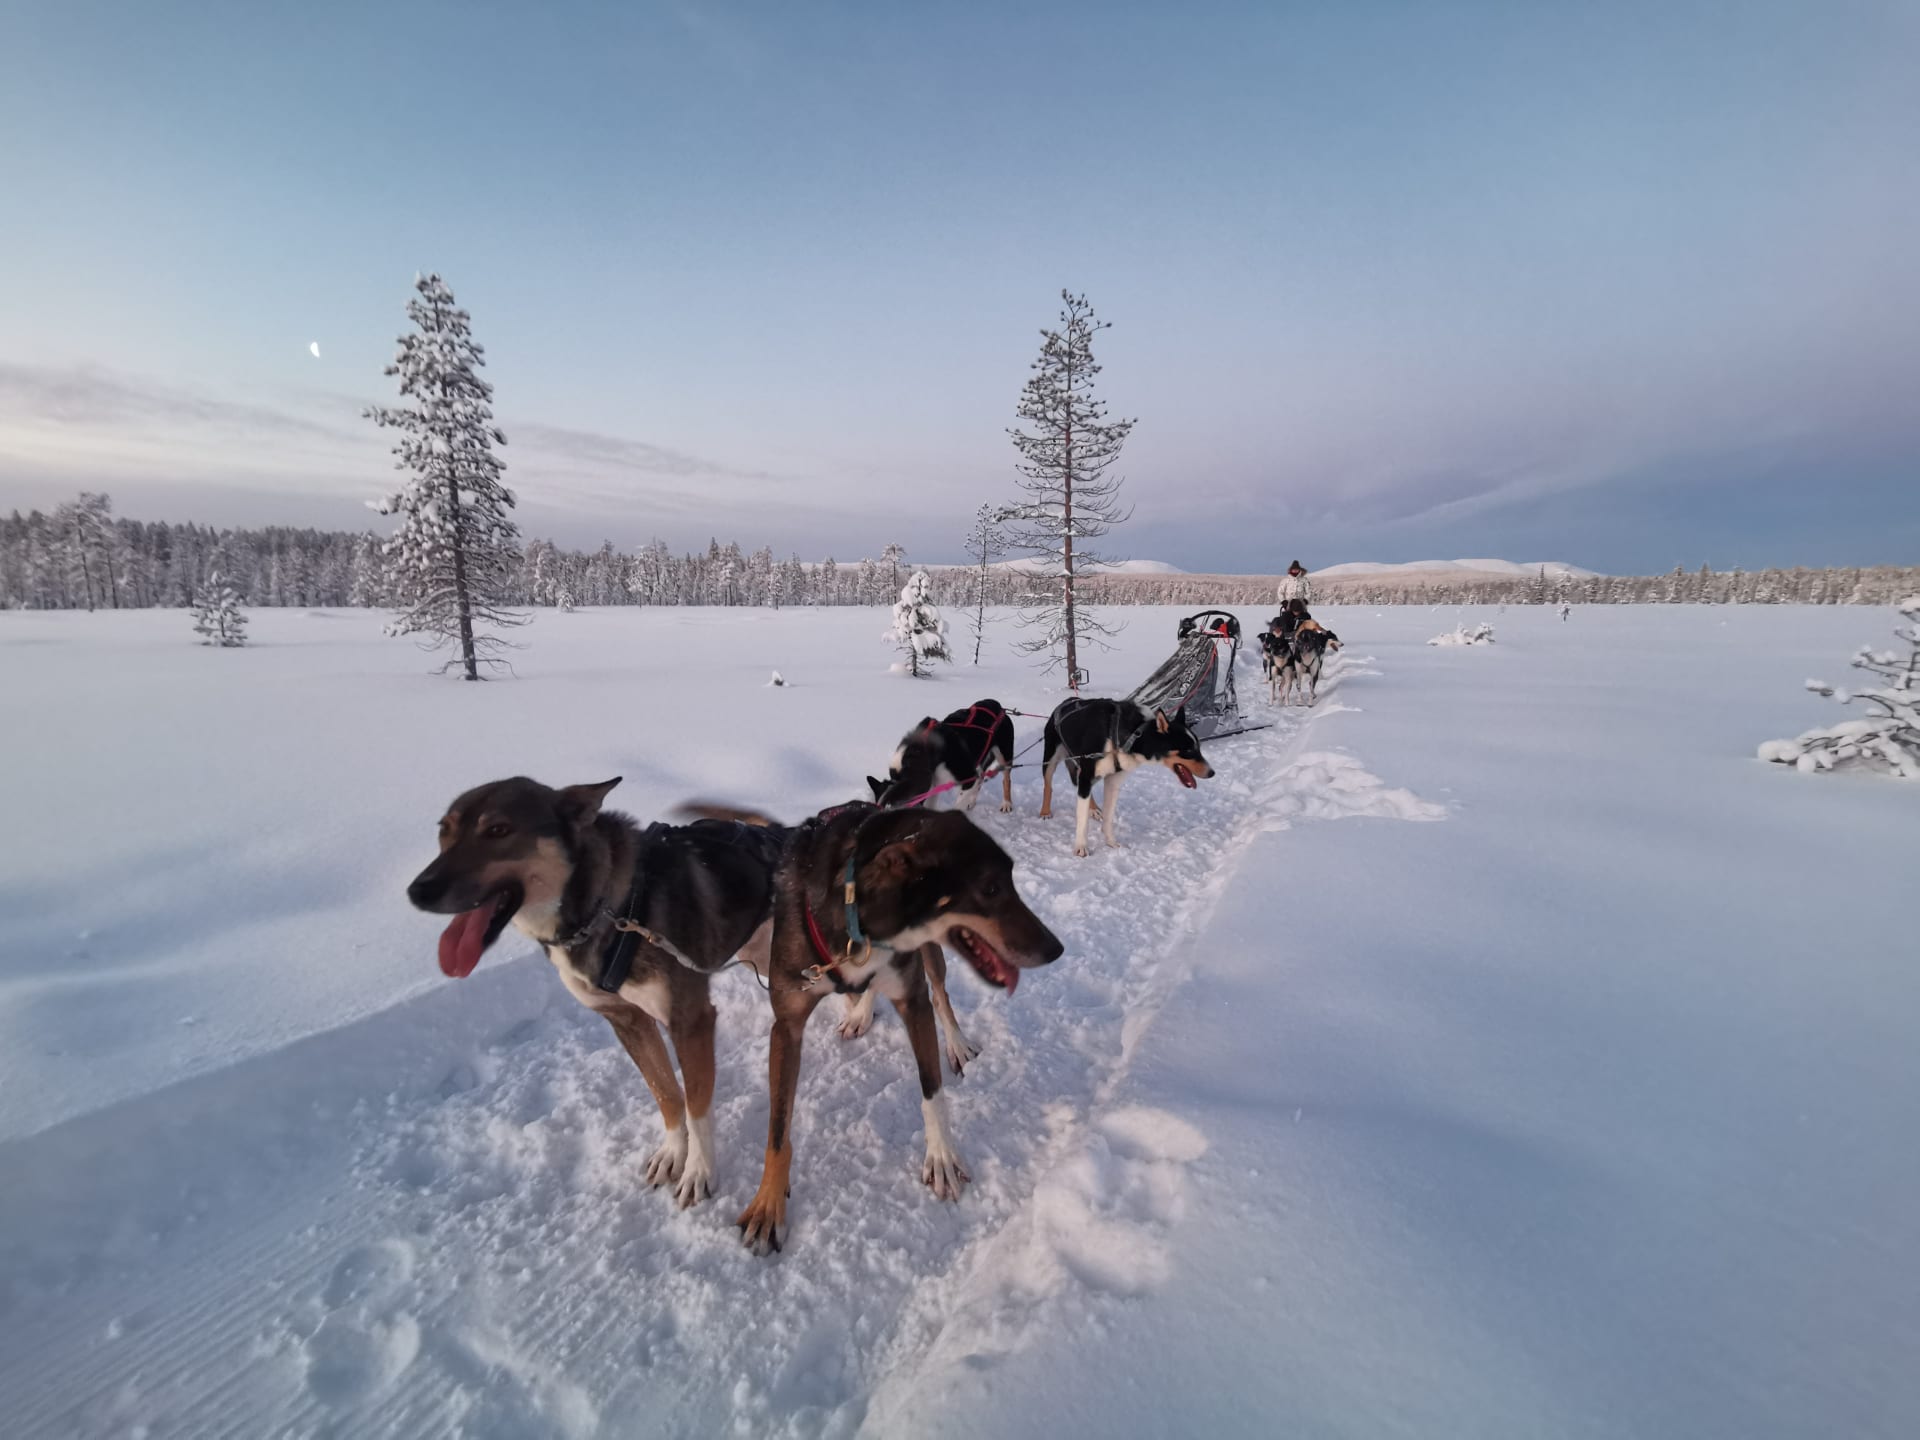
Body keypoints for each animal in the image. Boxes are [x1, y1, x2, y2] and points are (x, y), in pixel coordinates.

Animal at [871, 706, 1021, 817]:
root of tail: (1001, 708)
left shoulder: (967, 776)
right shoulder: (934, 785)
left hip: (1004, 755)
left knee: (1005, 779)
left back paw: (1006, 803)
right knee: (981, 777)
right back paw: (972, 801)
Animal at [1036, 698, 1213, 856]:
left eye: (1199, 747)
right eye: (1189, 750)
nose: (1212, 773)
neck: (1133, 734)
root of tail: (1065, 702)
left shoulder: (1112, 781)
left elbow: (1108, 818)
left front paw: (1111, 842)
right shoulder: (1087, 775)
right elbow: (1082, 819)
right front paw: (1081, 847)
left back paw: (1094, 809)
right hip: (1051, 760)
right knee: (1048, 786)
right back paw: (1045, 811)